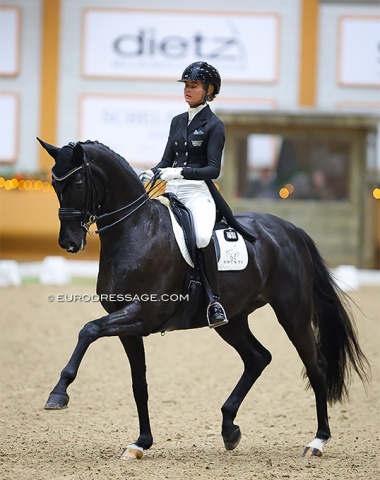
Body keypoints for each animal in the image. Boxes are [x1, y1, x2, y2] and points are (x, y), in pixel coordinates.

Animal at [37, 138, 368, 458]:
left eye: (78, 183)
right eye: (54, 184)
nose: (69, 242)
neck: (136, 231)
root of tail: (291, 230)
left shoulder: (141, 315)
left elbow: (88, 329)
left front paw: (58, 393)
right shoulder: (129, 327)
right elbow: (139, 384)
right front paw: (141, 443)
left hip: (293, 313)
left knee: (316, 366)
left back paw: (317, 441)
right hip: (232, 320)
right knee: (258, 357)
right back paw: (229, 429)